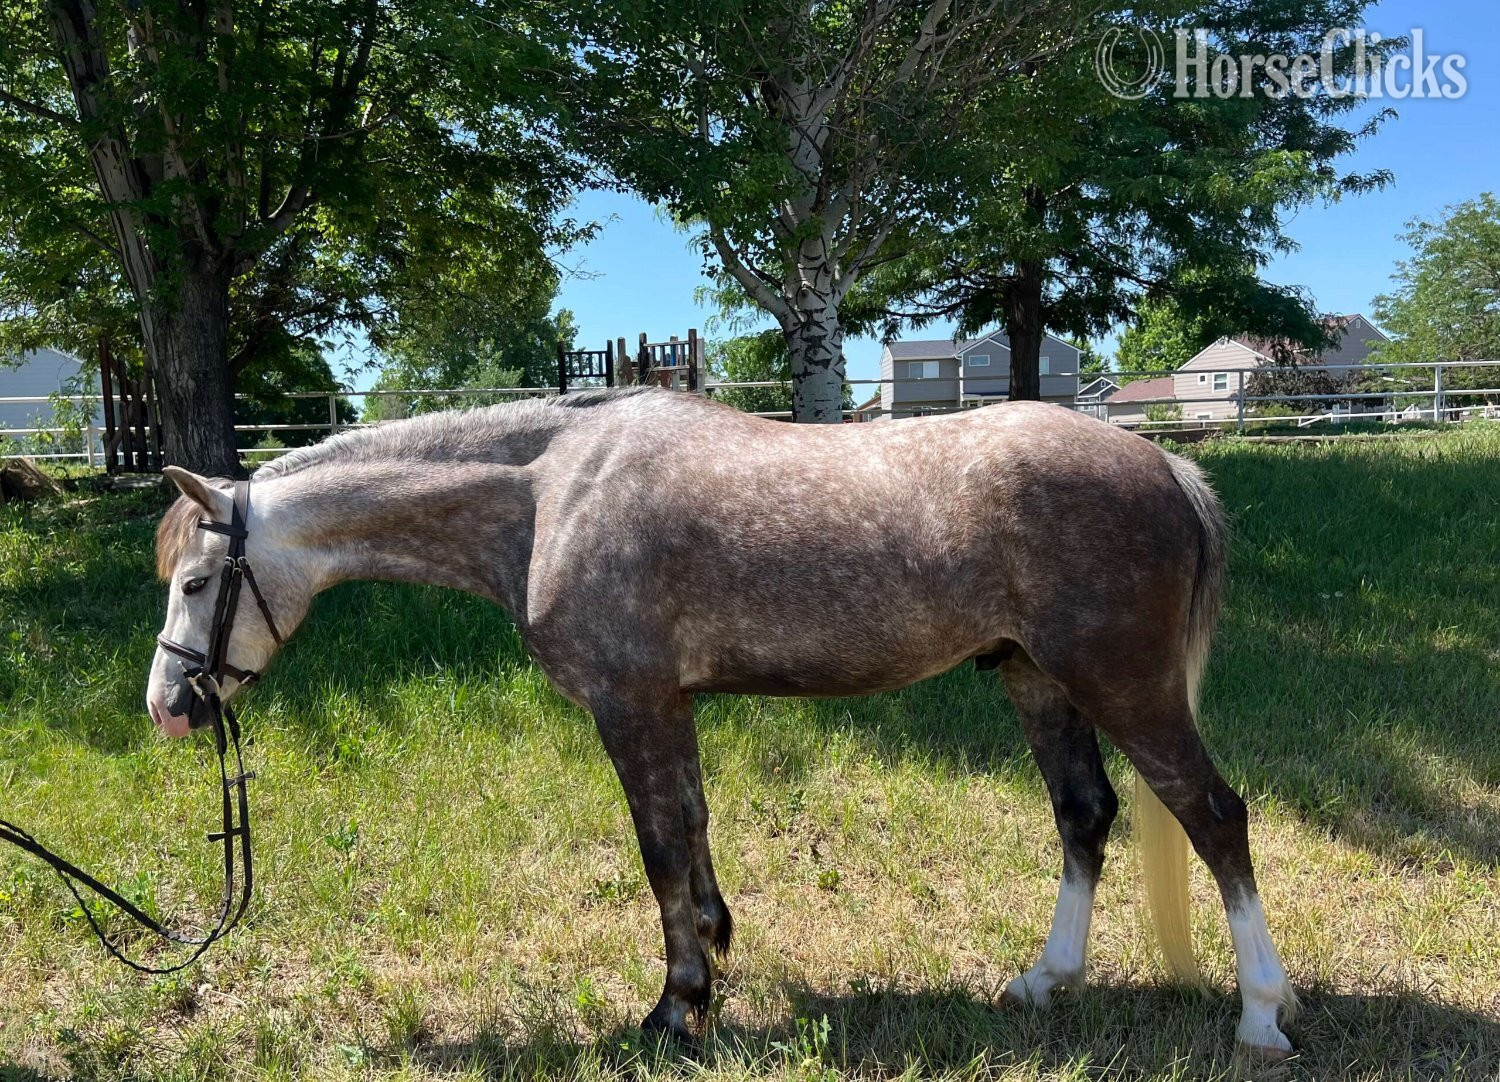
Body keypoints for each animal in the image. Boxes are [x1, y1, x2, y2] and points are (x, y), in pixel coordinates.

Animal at [146, 387, 1297, 1059]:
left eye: (199, 581)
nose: (167, 706)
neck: (551, 493)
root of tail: (1165, 465)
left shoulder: (633, 707)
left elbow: (659, 851)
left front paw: (674, 1005)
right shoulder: (675, 708)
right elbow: (693, 835)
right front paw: (711, 966)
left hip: (1122, 685)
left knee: (1215, 817)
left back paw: (1261, 1014)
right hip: (1036, 679)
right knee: (1084, 814)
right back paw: (1045, 982)